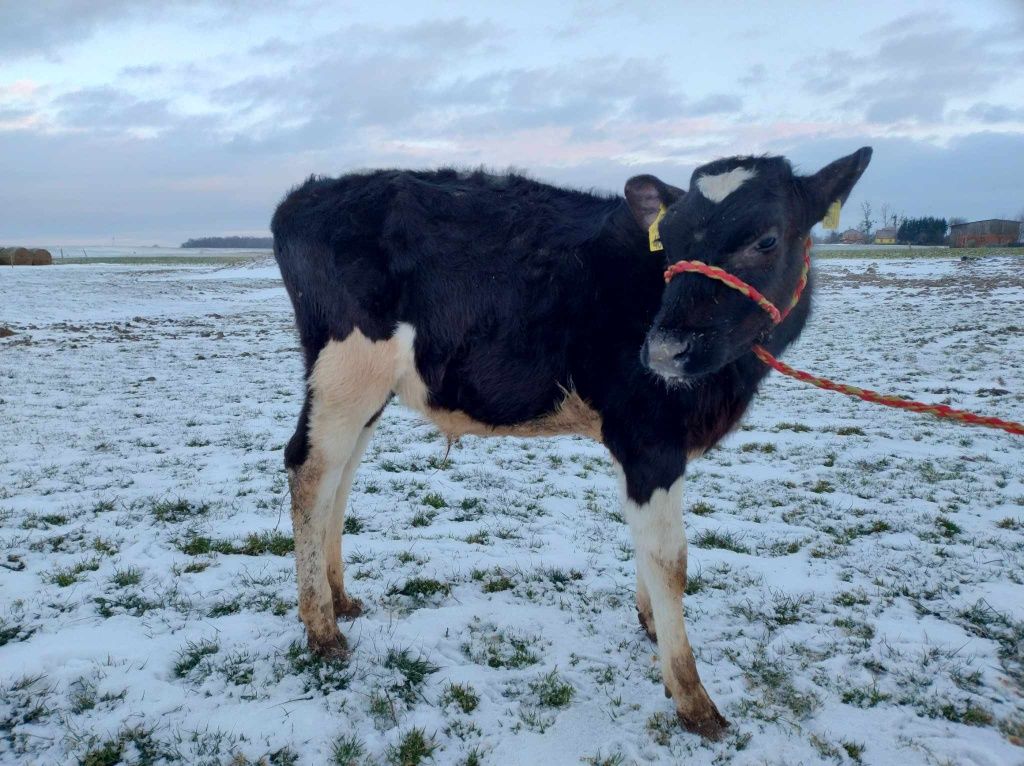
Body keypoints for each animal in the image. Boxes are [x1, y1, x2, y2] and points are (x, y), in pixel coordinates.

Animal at [270, 146, 872, 737]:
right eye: (673, 243)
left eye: (766, 239)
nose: (663, 350)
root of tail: (306, 195)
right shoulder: (649, 438)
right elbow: (670, 559)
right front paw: (692, 698)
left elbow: (645, 547)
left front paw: (650, 622)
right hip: (346, 367)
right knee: (310, 471)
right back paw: (322, 628)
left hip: (369, 388)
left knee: (340, 478)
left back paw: (340, 599)